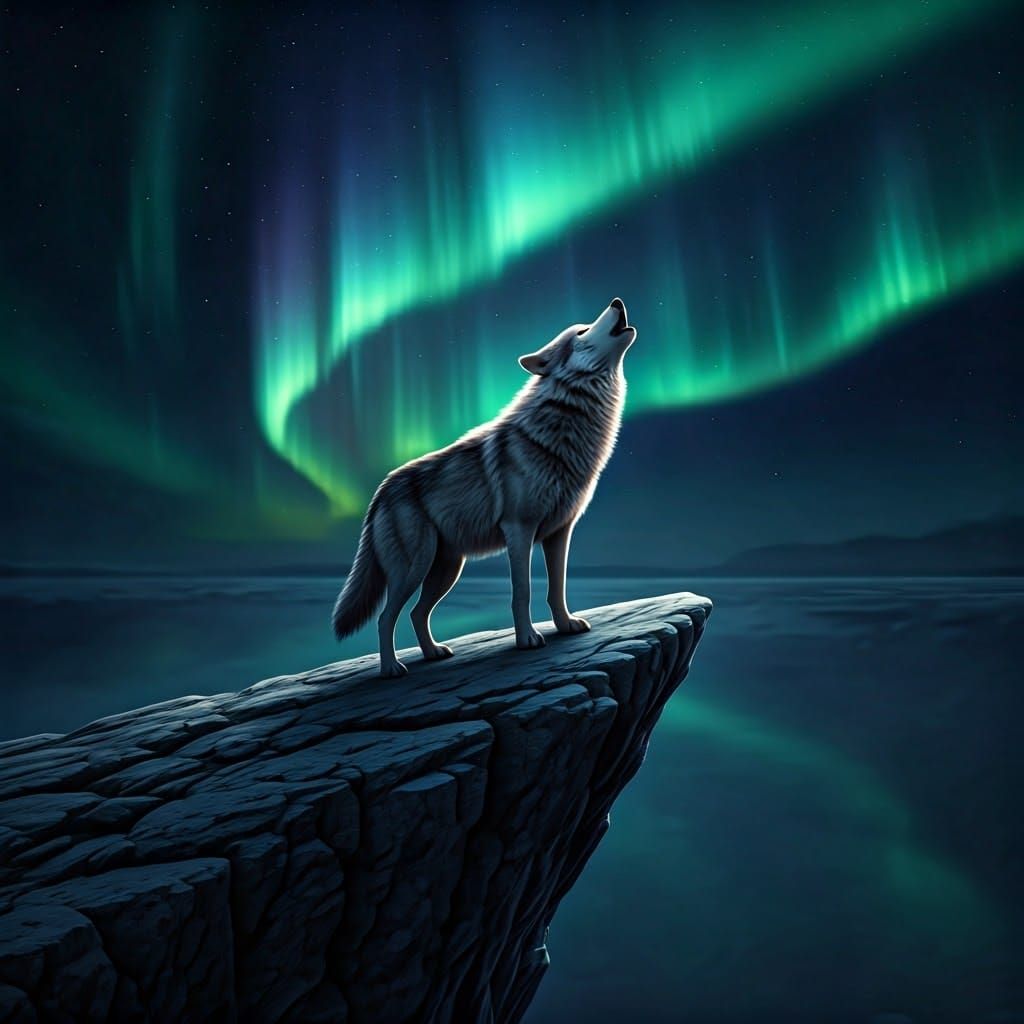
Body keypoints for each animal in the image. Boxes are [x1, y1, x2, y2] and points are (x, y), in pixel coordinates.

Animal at [332, 297, 637, 677]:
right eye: (581, 331)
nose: (617, 301)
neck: (564, 427)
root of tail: (380, 491)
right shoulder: (519, 529)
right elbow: (522, 592)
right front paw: (527, 639)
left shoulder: (559, 532)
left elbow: (558, 587)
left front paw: (566, 625)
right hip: (414, 568)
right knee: (386, 617)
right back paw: (390, 668)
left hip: (447, 569)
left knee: (417, 613)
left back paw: (433, 653)